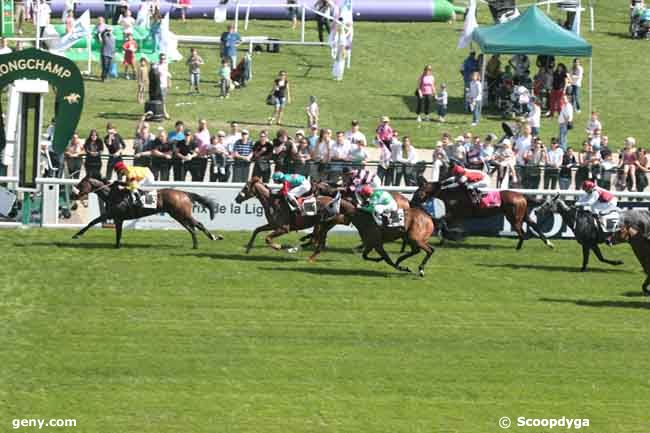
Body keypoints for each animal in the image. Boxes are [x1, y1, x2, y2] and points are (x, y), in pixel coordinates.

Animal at [68, 175, 220, 248]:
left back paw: (214, 237)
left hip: (182, 213)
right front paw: (117, 246)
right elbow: (117, 233)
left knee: (198, 224)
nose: (72, 195)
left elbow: (92, 222)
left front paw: (77, 235)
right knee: (192, 228)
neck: (112, 194)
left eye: (81, 184)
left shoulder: (111, 215)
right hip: (178, 215)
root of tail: (184, 193)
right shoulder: (117, 218)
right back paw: (196, 244)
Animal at [410, 176, 552, 250]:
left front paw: (455, 236)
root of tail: (521, 195)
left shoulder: (457, 214)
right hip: (523, 215)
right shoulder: (455, 215)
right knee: (534, 225)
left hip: (514, 218)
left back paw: (518, 247)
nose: (411, 202)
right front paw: (446, 238)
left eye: (419, 192)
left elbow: (442, 222)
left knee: (522, 232)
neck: (452, 194)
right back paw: (549, 244)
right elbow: (444, 224)